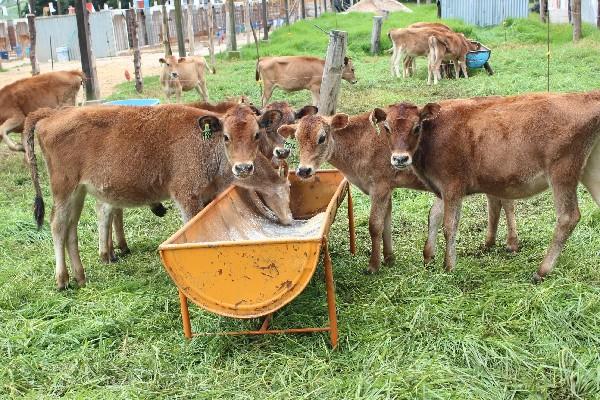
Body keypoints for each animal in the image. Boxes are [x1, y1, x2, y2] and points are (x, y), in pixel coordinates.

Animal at [26, 104, 290, 290]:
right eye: (226, 137)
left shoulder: (206, 196)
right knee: (58, 225)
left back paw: (80, 276)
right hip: (63, 190)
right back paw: (62, 280)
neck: (206, 144)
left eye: (256, 135)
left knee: (72, 228)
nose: (243, 168)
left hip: (78, 193)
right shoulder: (187, 196)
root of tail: (51, 115)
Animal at [278, 109, 516, 276]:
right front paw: (389, 258)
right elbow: (387, 222)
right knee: (496, 202)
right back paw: (490, 242)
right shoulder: (388, 188)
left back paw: (512, 243)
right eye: (296, 138)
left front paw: (373, 265)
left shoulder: (379, 186)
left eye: (321, 138)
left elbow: (375, 225)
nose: (303, 170)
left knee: (506, 202)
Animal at [380, 94, 600, 282]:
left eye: (416, 127)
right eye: (387, 128)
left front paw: (449, 266)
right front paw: (428, 257)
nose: (400, 159)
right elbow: (433, 217)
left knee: (568, 217)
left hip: (562, 171)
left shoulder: (452, 185)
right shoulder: (441, 188)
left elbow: (449, 226)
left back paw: (542, 271)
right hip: (590, 169)